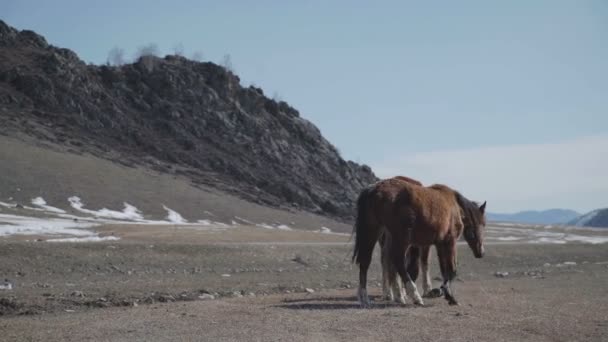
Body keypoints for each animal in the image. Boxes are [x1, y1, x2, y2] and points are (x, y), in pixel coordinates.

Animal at [352, 179, 484, 308]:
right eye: (482, 224)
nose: (481, 252)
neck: (455, 206)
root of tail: (374, 189)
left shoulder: (440, 244)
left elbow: (444, 270)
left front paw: (445, 293)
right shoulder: (450, 241)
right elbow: (452, 270)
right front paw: (450, 297)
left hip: (374, 231)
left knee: (366, 261)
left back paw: (366, 299)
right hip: (401, 238)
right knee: (397, 261)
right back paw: (414, 296)